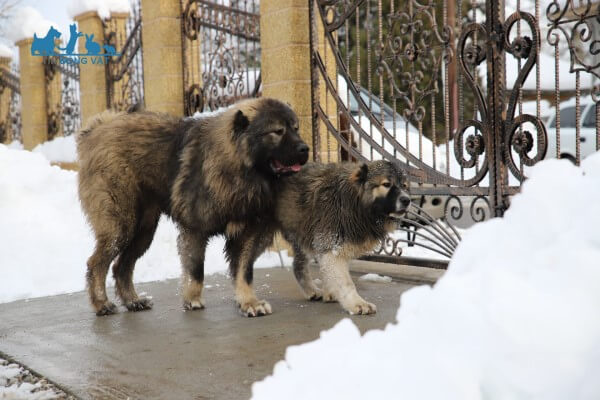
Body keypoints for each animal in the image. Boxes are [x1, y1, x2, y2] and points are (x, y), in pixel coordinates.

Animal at [77, 97, 308, 316]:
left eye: (296, 128)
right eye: (278, 132)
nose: (305, 149)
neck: (238, 169)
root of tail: (97, 129)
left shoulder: (246, 233)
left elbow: (244, 272)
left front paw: (249, 302)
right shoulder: (195, 229)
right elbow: (196, 270)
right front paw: (193, 300)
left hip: (144, 230)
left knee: (121, 266)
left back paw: (133, 301)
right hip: (121, 226)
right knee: (96, 264)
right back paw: (102, 304)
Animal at [274, 161, 410, 314]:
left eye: (404, 186)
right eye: (386, 184)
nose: (407, 200)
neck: (354, 200)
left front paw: (331, 292)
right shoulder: (330, 244)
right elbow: (346, 282)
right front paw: (358, 304)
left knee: (298, 264)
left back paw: (310, 290)